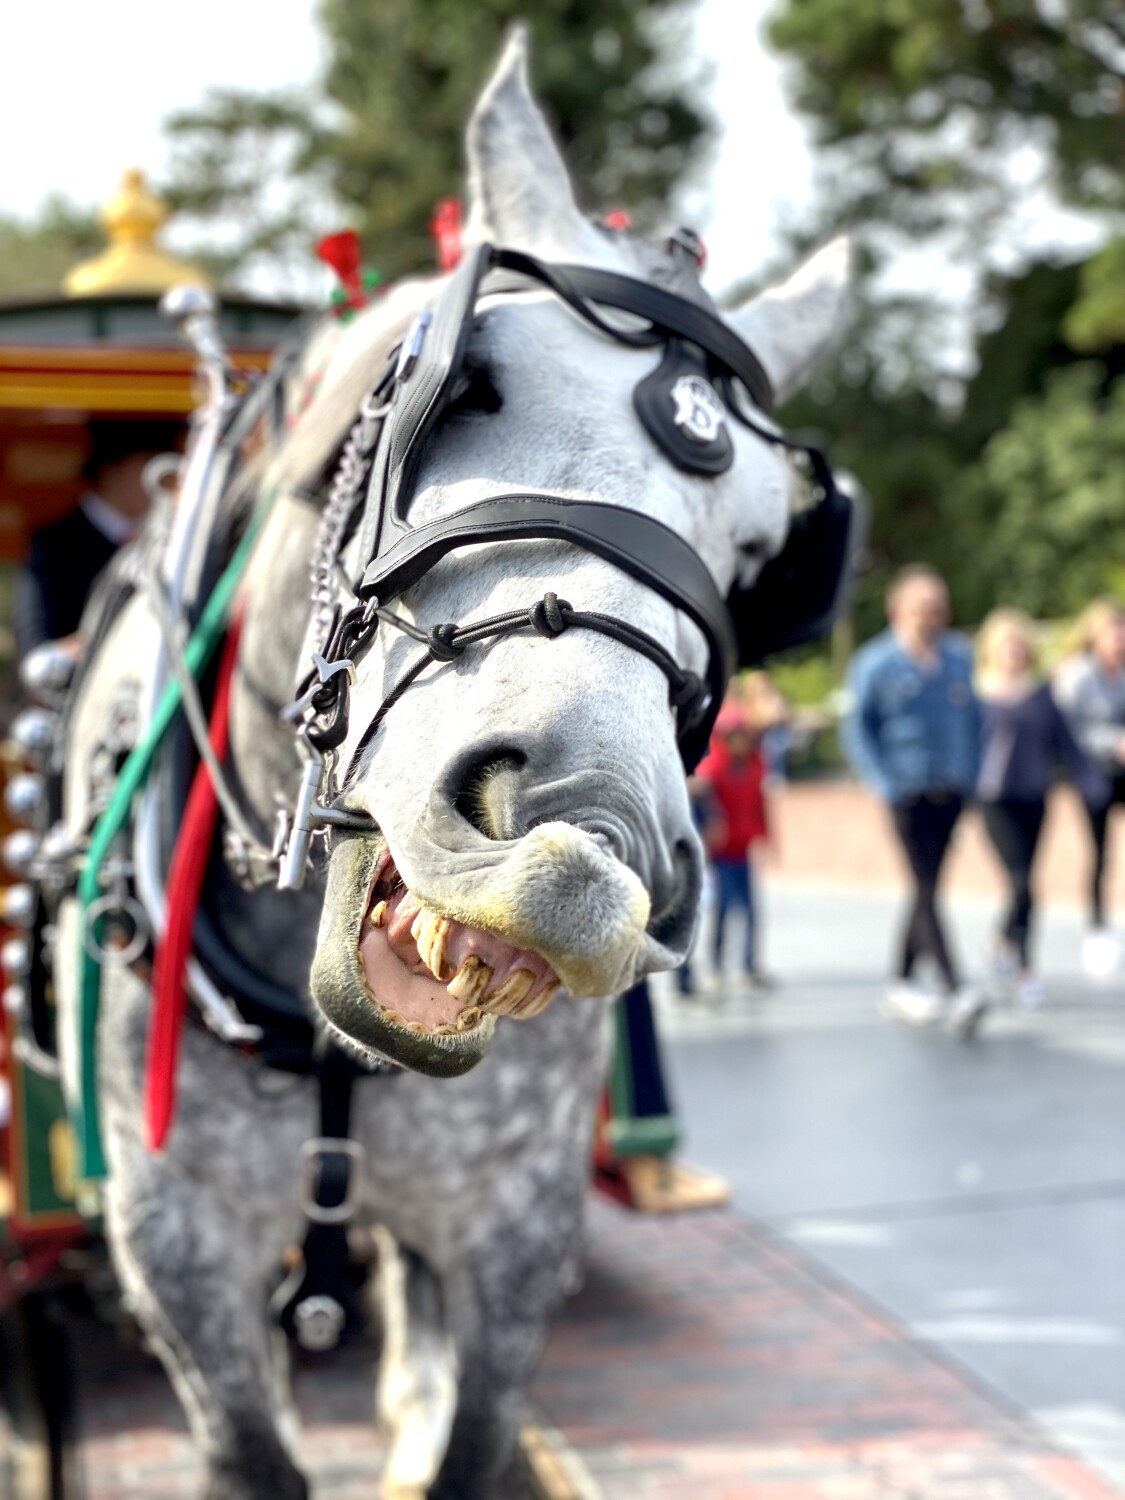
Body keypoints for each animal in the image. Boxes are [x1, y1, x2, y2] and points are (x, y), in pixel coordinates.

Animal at [52, 31, 850, 1500]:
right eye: (464, 384)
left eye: (769, 552)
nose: (578, 847)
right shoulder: (172, 1230)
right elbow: (252, 1452)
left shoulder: (512, 1222)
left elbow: (467, 1436)